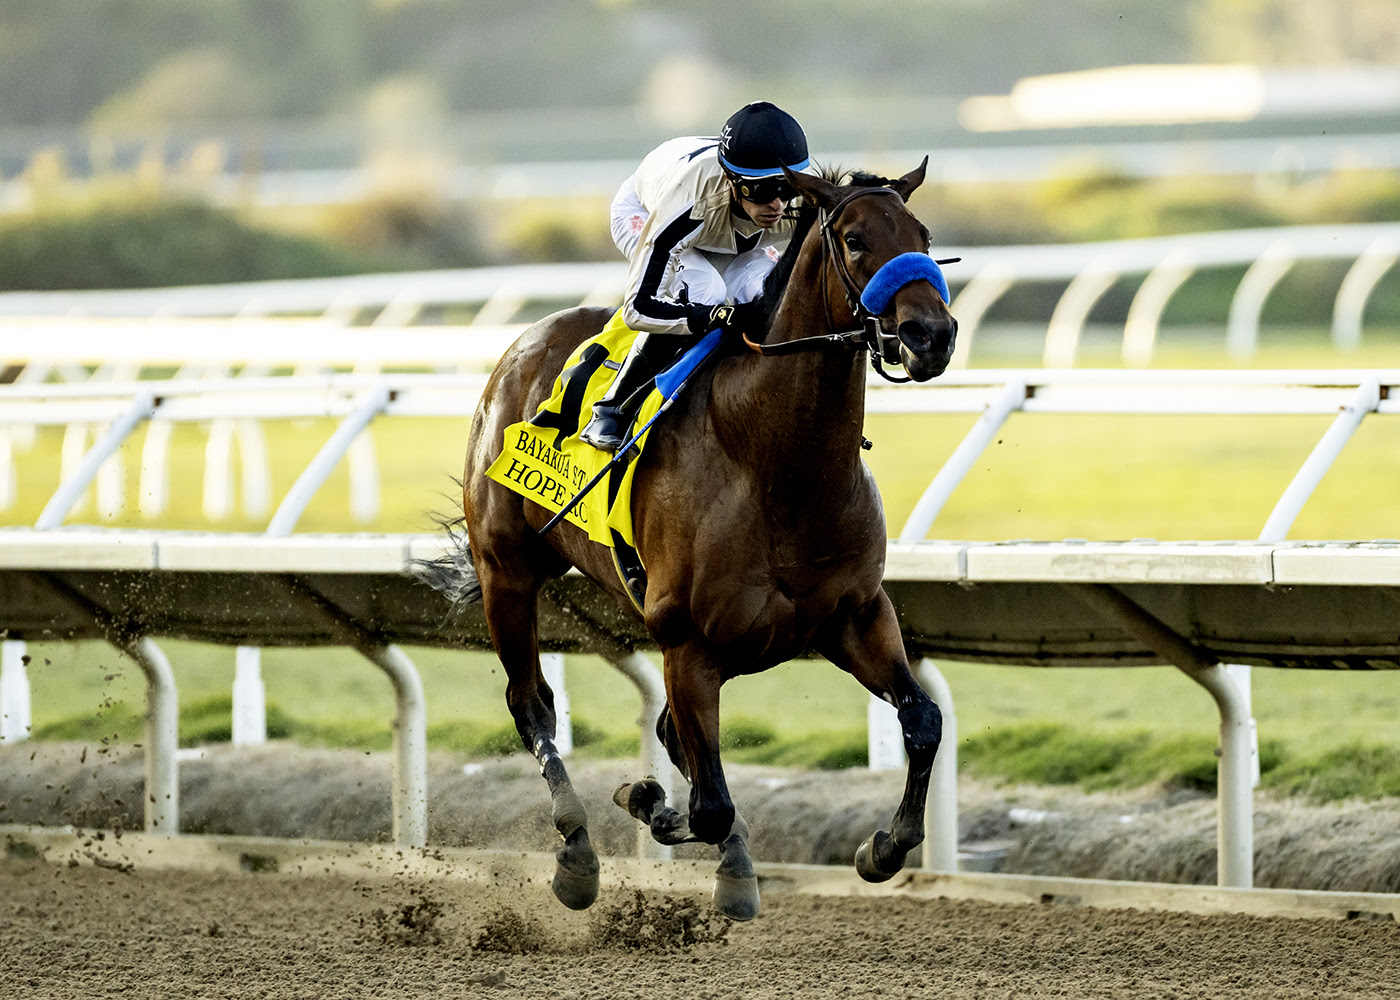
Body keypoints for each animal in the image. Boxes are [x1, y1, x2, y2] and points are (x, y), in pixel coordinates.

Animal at [459, 159, 957, 920]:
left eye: (923, 235)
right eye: (853, 239)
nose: (932, 334)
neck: (774, 462)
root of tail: (522, 346)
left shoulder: (853, 615)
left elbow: (923, 719)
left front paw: (883, 848)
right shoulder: (687, 640)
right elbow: (709, 802)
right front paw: (650, 803)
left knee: (666, 735)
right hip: (506, 572)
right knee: (533, 706)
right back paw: (578, 851)